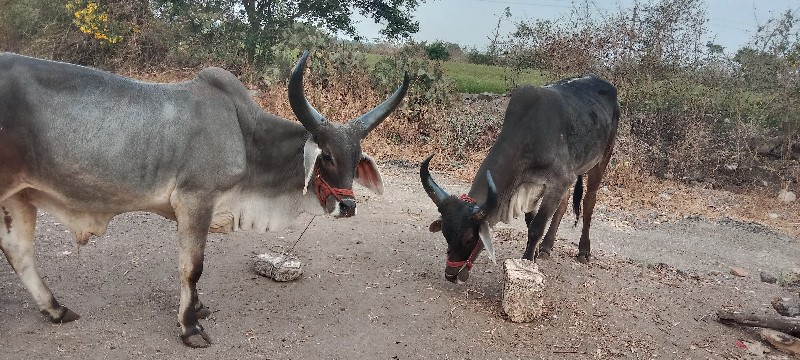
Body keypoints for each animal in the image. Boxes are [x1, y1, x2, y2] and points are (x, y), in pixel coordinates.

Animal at [0, 49, 410, 348]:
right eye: (325, 156)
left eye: (356, 158)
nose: (348, 206)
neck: (243, 131)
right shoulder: (195, 200)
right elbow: (192, 268)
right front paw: (189, 328)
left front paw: (197, 309)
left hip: (19, 197)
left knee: (19, 252)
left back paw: (55, 309)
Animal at [418, 75, 620, 284]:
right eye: (445, 234)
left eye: (468, 238)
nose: (451, 274)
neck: (529, 134)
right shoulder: (534, 186)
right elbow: (530, 222)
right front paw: (536, 253)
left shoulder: (559, 180)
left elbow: (536, 227)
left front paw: (527, 262)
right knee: (563, 204)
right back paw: (547, 247)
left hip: (602, 159)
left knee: (589, 202)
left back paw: (583, 251)